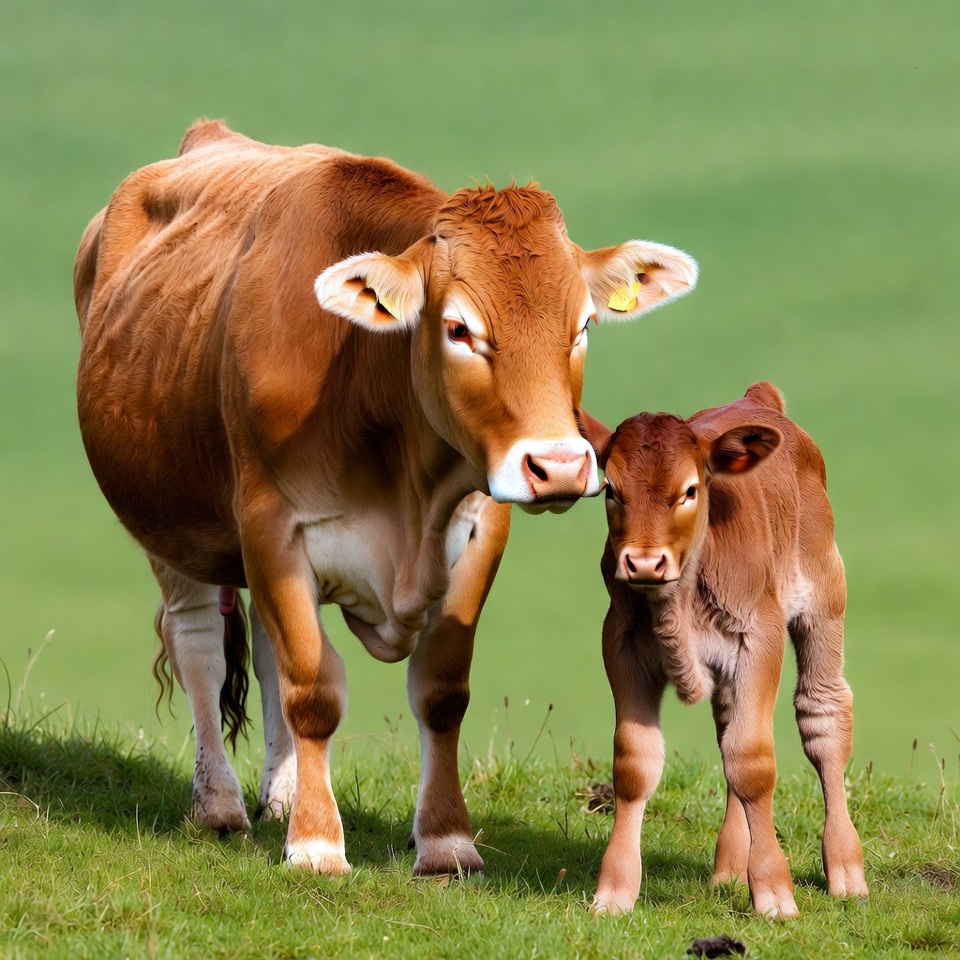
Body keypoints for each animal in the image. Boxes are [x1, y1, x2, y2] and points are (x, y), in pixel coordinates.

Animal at [74, 120, 698, 875]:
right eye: (459, 328)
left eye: (581, 326)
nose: (557, 467)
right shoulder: (270, 525)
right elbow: (313, 687)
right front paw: (317, 844)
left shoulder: (479, 531)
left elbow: (440, 692)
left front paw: (446, 841)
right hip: (167, 520)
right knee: (197, 642)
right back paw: (220, 805)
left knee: (263, 649)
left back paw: (279, 793)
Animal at [579, 382, 867, 916]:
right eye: (611, 490)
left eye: (690, 490)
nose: (643, 562)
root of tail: (759, 398)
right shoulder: (621, 643)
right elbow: (635, 761)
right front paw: (614, 892)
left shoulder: (761, 636)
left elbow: (752, 761)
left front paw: (774, 893)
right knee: (728, 725)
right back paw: (731, 865)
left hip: (825, 600)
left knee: (823, 715)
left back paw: (845, 868)